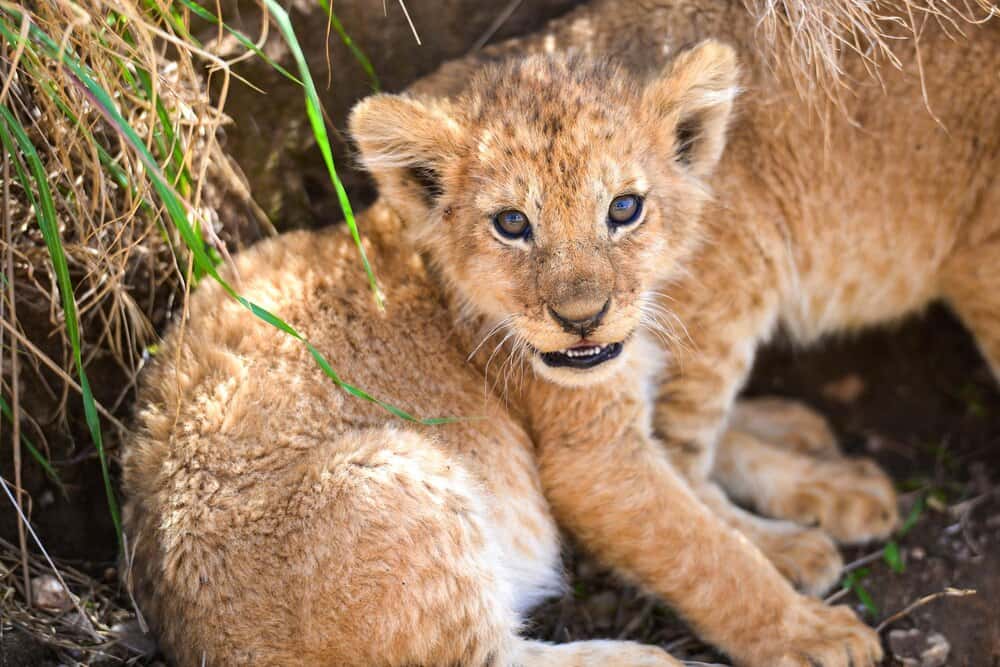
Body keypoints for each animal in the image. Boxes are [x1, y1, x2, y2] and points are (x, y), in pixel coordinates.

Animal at [121, 41, 885, 666]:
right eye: (513, 223)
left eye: (624, 209)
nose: (582, 319)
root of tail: (193, 636)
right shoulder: (590, 460)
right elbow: (705, 550)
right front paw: (811, 630)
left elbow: (702, 490)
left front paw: (820, 499)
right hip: (387, 471)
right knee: (488, 656)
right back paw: (645, 660)